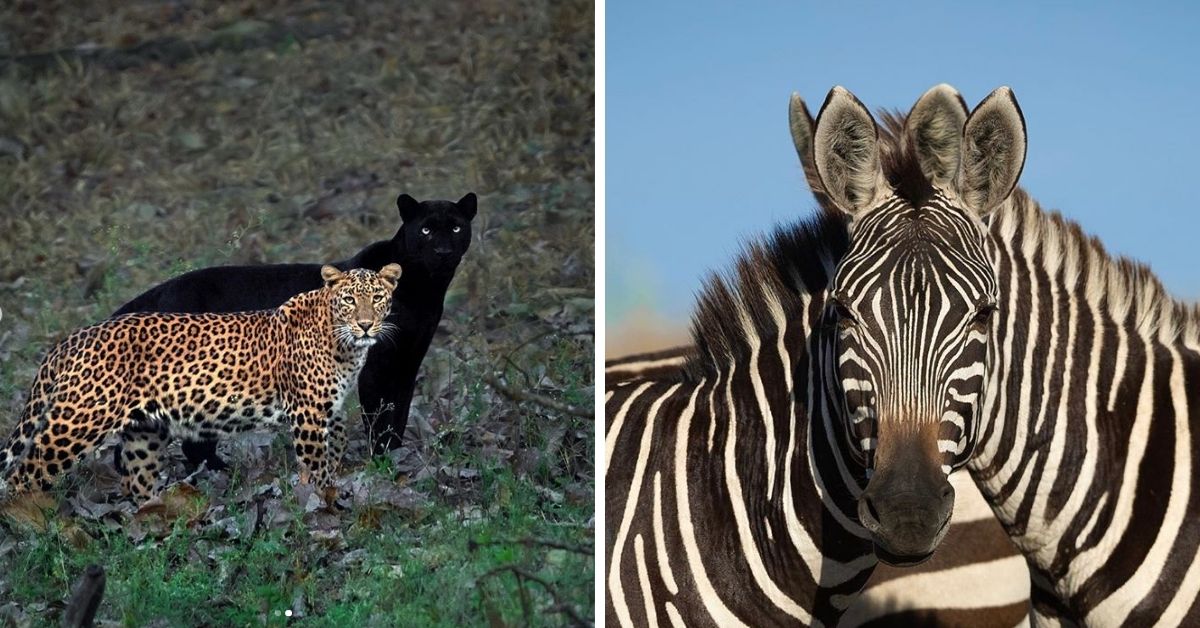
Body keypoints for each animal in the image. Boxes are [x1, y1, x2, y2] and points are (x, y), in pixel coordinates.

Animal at [0, 262, 403, 504]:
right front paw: (322, 504)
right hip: (77, 422)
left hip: (145, 432)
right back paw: (33, 522)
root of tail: (71, 339)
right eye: (349, 299)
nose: (366, 325)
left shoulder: (329, 410)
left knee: (137, 480)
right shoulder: (308, 413)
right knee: (23, 474)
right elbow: (316, 464)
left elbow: (334, 451)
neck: (345, 345)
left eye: (378, 298)